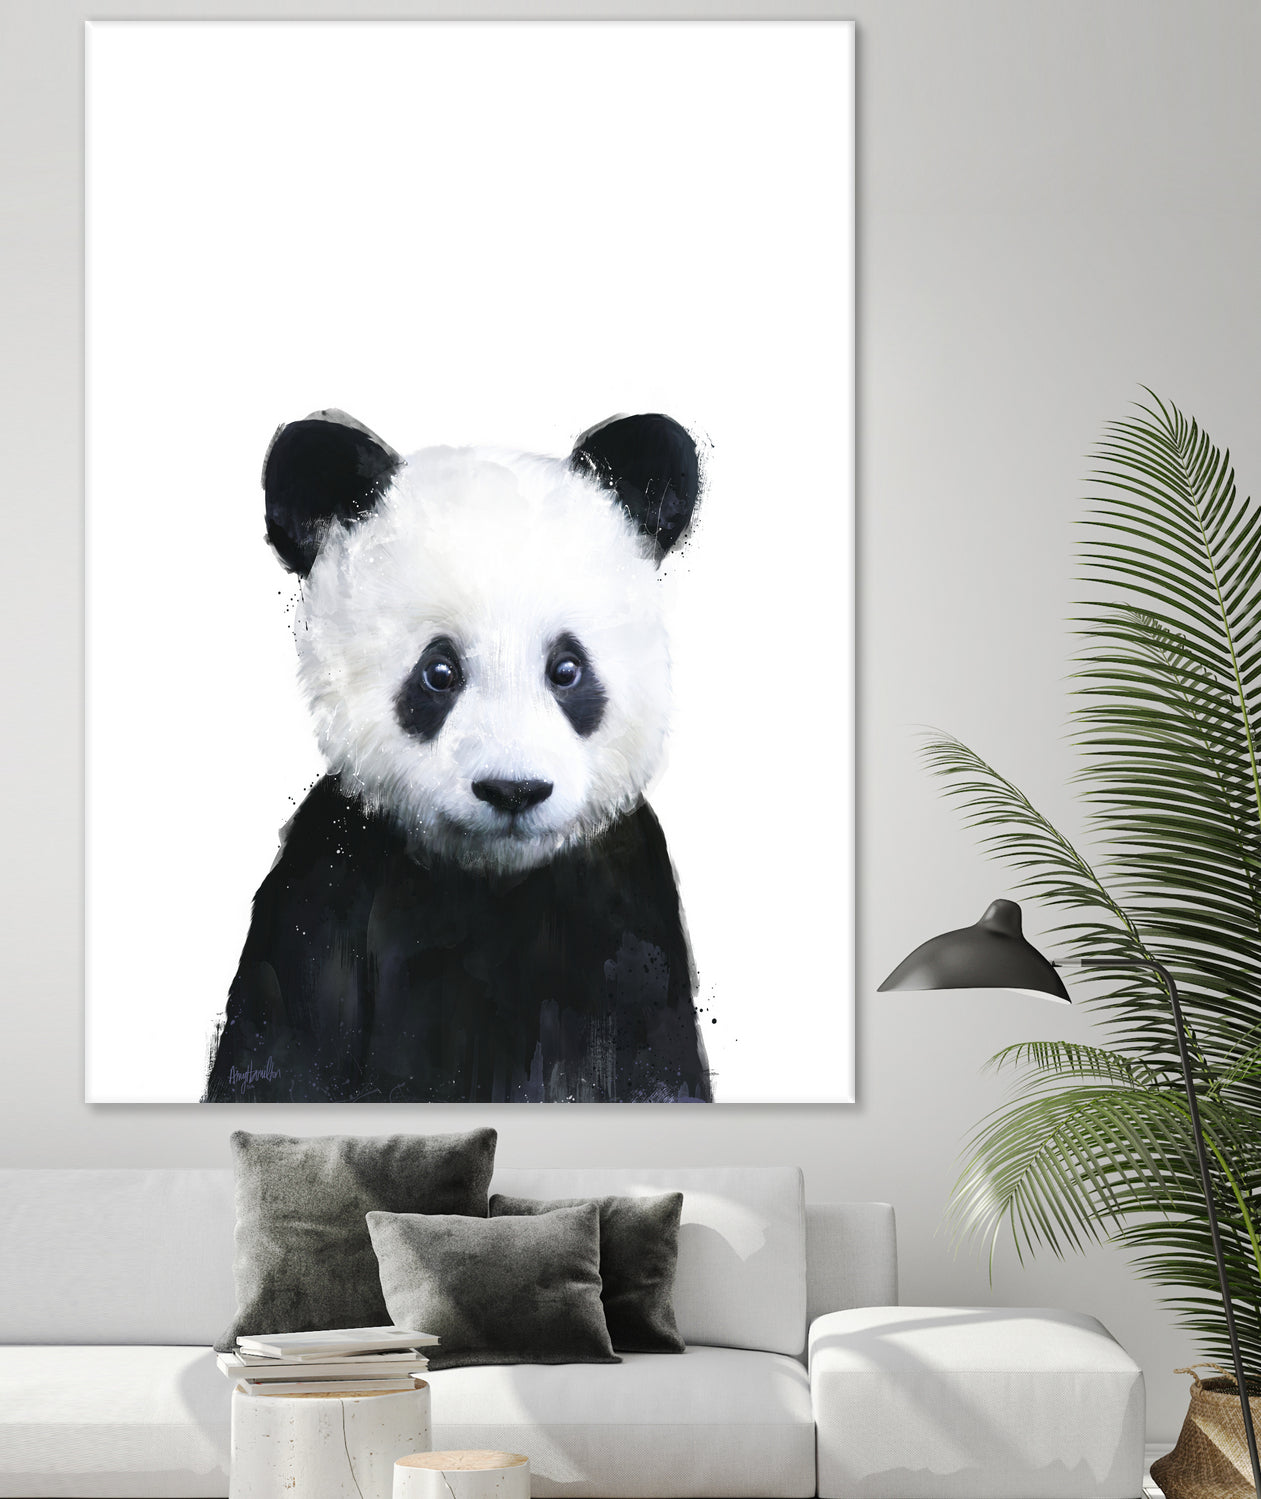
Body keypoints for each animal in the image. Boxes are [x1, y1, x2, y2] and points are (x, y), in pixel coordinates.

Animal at [204, 409, 713, 1103]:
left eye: (567, 669)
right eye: (439, 672)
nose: (513, 790)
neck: (490, 878)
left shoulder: (626, 910)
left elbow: (654, 1068)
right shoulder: (328, 886)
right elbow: (282, 1053)